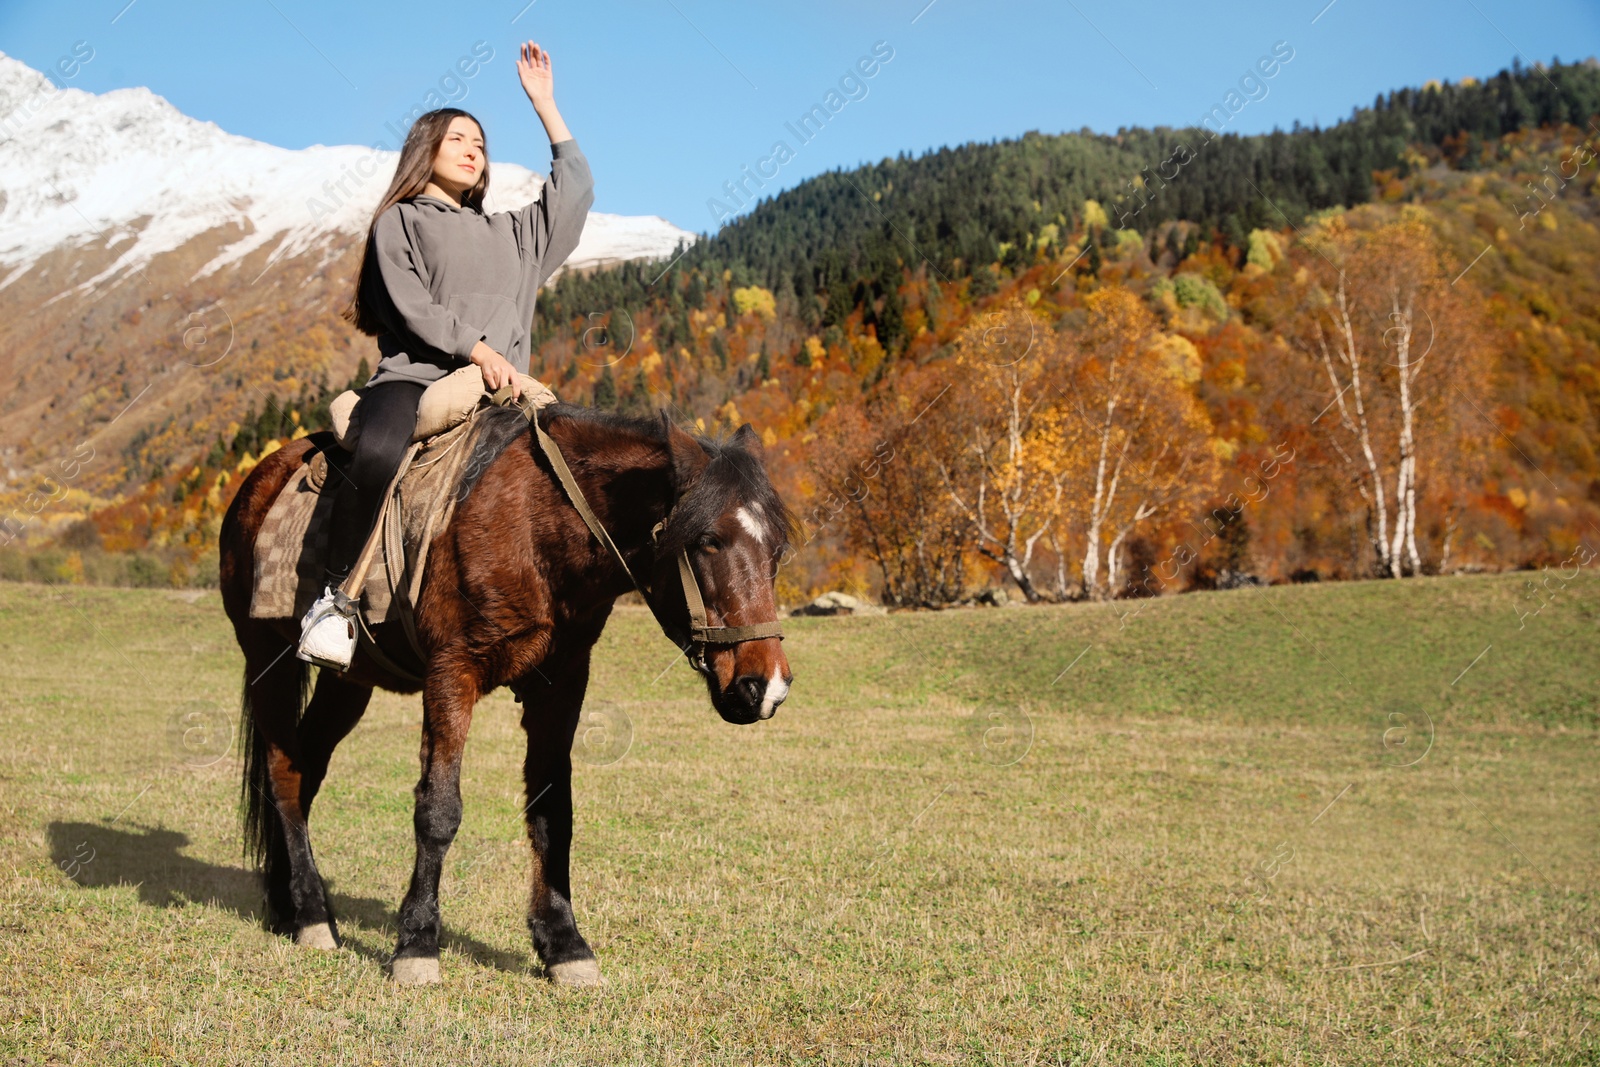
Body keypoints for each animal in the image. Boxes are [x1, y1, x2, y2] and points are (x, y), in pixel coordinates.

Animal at [219, 403, 793, 985]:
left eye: (777, 550)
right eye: (707, 541)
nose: (765, 687)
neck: (536, 527)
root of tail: (262, 477)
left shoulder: (561, 683)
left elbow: (553, 812)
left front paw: (564, 944)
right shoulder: (452, 673)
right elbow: (438, 810)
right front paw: (417, 943)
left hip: (347, 683)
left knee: (305, 769)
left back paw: (288, 905)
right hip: (266, 659)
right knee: (284, 775)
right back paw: (313, 914)